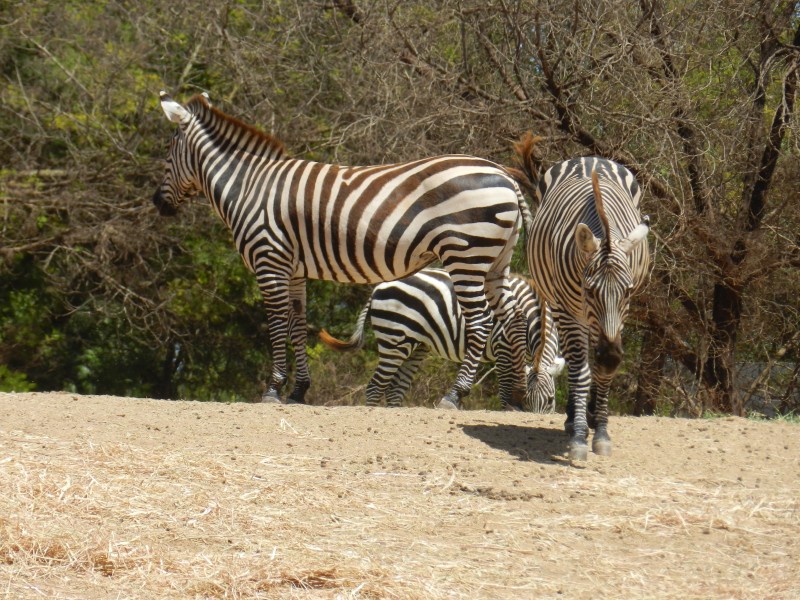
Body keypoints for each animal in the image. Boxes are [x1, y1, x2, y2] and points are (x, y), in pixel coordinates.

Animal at [154, 94, 536, 410]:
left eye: (168, 152)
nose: (157, 203)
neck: (248, 187)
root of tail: (505, 175)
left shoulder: (270, 260)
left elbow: (276, 324)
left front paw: (274, 389)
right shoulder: (295, 269)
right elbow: (297, 325)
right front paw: (299, 391)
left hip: (466, 254)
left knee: (481, 321)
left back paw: (454, 395)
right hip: (495, 261)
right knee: (513, 317)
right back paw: (514, 397)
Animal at [318, 270, 564, 410]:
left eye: (551, 401)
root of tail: (379, 286)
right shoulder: (502, 346)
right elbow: (505, 387)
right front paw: (508, 409)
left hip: (415, 346)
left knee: (395, 389)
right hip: (394, 340)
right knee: (375, 386)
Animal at [512, 136, 648, 462]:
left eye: (627, 291)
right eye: (589, 290)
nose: (610, 357)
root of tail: (591, 158)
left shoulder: (621, 313)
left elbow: (600, 372)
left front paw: (600, 431)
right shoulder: (567, 309)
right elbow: (580, 370)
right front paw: (578, 435)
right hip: (566, 311)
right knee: (579, 362)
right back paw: (575, 418)